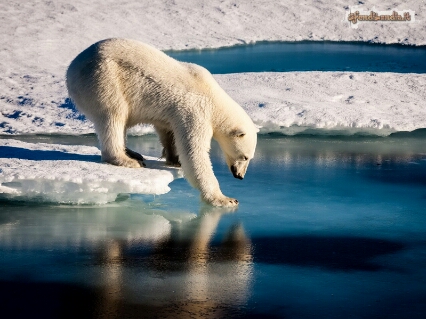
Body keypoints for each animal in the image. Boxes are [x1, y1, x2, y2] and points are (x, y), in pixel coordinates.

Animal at [67, 38, 256, 208]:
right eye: (245, 157)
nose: (240, 176)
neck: (213, 98)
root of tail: (72, 68)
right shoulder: (196, 111)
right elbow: (194, 152)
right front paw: (225, 199)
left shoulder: (173, 113)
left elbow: (168, 131)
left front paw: (174, 159)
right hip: (104, 80)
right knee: (113, 116)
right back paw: (127, 160)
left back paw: (133, 153)